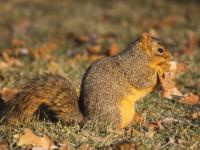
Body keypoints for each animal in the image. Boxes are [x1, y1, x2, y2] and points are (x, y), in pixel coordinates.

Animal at [0, 32, 173, 129]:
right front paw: (163, 70)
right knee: (110, 128)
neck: (141, 56)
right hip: (114, 112)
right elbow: (144, 81)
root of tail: (89, 120)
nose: (172, 58)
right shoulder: (134, 69)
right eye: (160, 50)